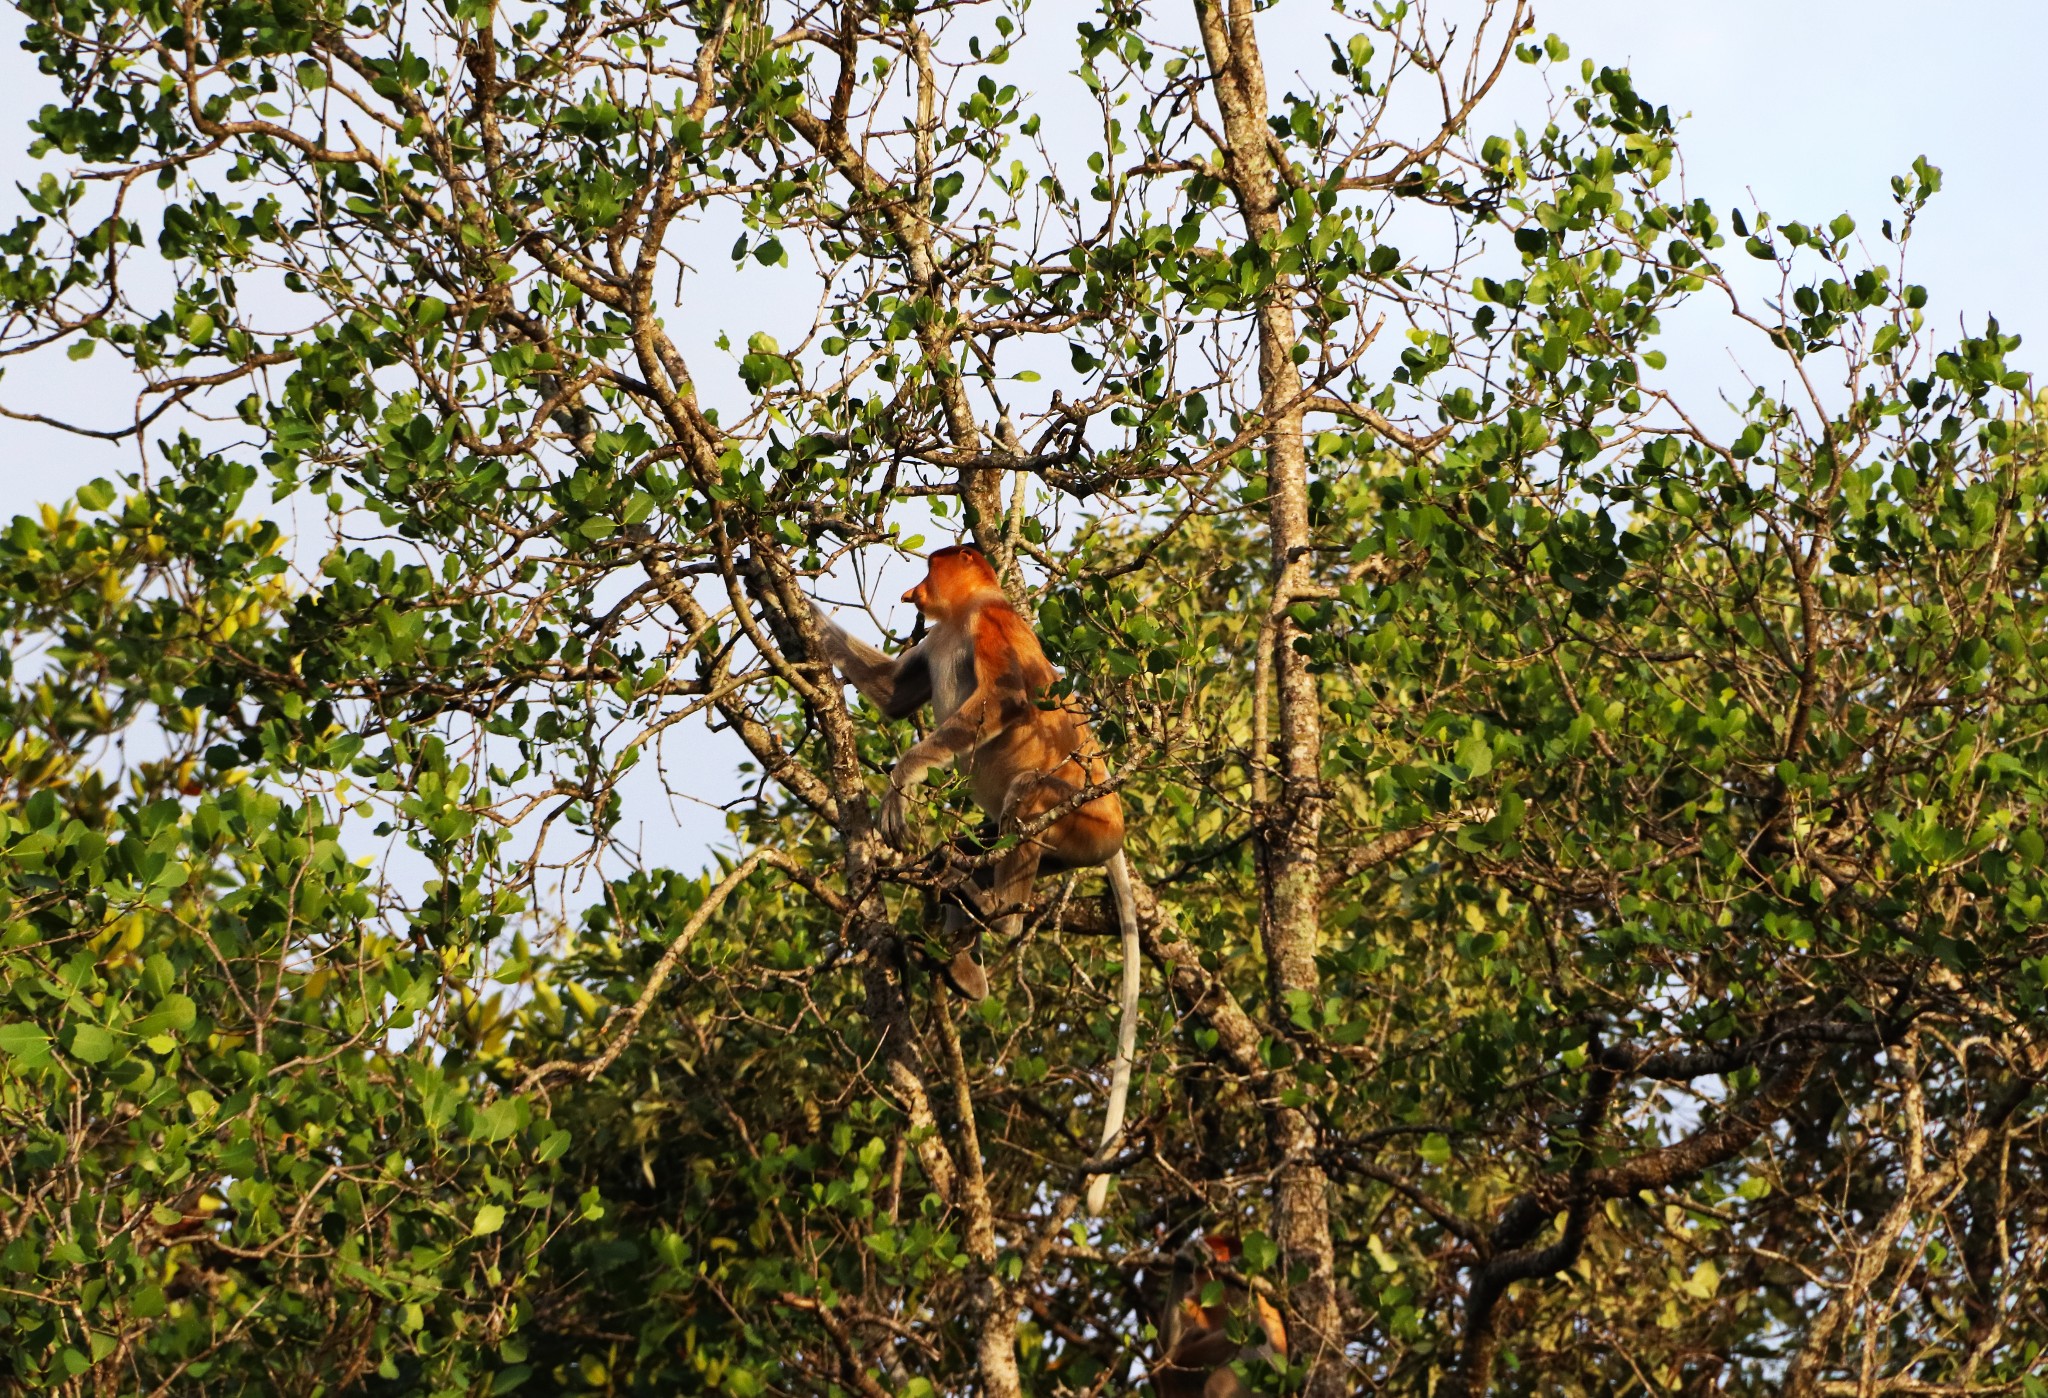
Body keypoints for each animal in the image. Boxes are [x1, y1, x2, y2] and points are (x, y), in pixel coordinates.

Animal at [811, 540, 1138, 1219]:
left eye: (930, 567)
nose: (911, 591)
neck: (961, 614)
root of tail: (1115, 821)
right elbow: (892, 692)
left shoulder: (990, 626)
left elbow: (1005, 700)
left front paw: (901, 781)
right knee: (974, 845)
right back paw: (962, 957)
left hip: (1080, 821)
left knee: (1024, 797)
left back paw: (996, 913)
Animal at [1155, 1236, 1277, 1398]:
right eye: (1215, 1251)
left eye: (1222, 1253)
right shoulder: (1190, 1302)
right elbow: (1167, 1359)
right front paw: (1185, 1257)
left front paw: (1240, 1284)